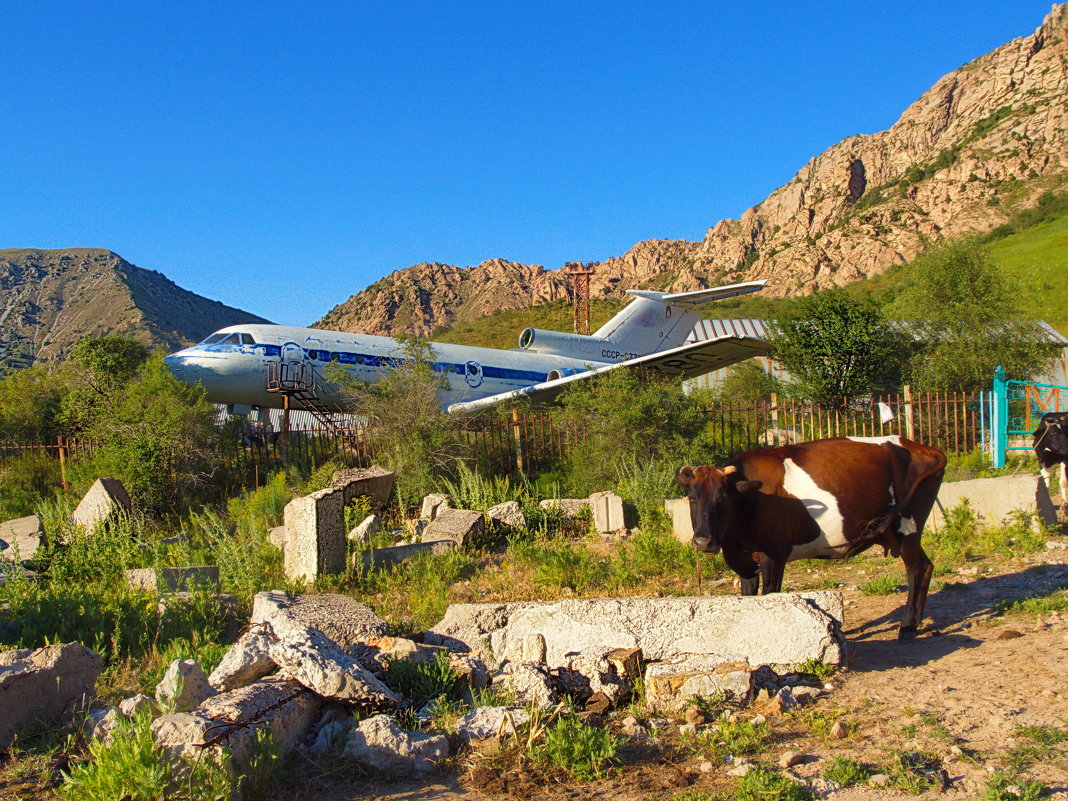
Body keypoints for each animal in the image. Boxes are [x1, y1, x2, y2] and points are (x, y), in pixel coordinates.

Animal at [679, 435, 948, 645]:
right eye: (692, 498)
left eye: (723, 498)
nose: (704, 541)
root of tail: (922, 447)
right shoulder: (744, 562)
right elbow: (748, 600)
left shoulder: (774, 556)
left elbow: (769, 596)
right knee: (926, 566)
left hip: (908, 526)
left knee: (918, 568)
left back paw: (908, 626)